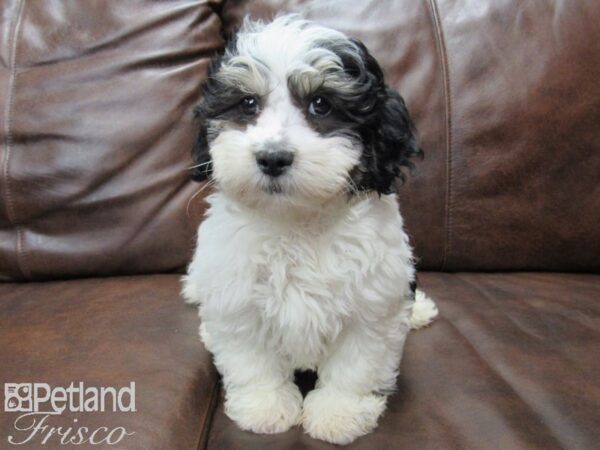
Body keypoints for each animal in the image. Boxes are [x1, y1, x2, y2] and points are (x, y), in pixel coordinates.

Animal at [180, 14, 438, 446]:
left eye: (321, 104)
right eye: (248, 103)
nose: (272, 158)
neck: (296, 221)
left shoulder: (372, 305)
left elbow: (355, 365)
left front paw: (339, 412)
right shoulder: (237, 299)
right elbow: (252, 359)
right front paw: (265, 407)